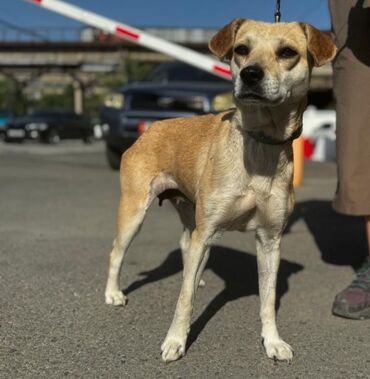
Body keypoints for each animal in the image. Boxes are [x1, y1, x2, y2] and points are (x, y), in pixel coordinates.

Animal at [103, 19, 336, 364]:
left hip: (191, 215)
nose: (250, 74)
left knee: (185, 246)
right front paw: (175, 341)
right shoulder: (208, 230)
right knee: (117, 251)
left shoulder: (270, 240)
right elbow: (184, 298)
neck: (258, 148)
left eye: (287, 52)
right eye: (241, 49)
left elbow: (268, 300)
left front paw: (273, 341)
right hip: (135, 211)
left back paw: (196, 274)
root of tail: (154, 126)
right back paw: (113, 293)